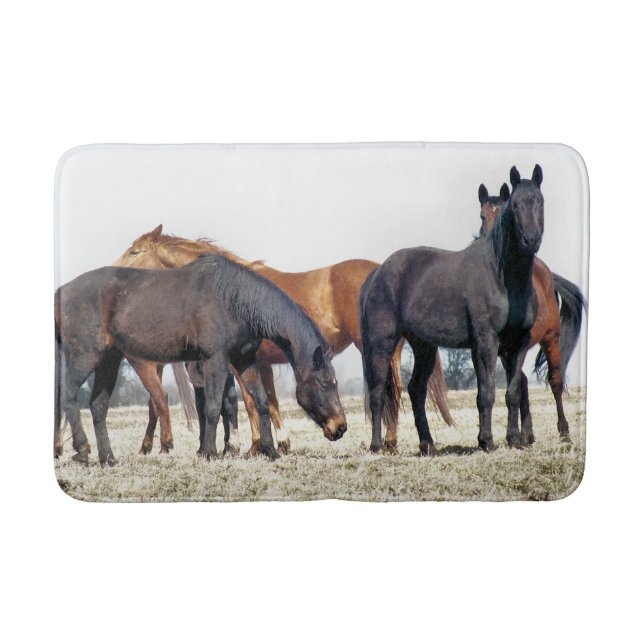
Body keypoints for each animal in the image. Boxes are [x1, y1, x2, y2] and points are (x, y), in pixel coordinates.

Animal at [54, 254, 347, 465]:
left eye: (335, 382)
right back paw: (82, 450)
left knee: (98, 407)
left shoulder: (244, 359)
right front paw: (209, 452)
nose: (340, 427)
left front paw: (269, 451)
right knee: (68, 397)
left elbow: (261, 401)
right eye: (324, 384)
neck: (234, 299)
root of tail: (60, 293)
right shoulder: (215, 359)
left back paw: (108, 458)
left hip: (109, 361)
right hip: (85, 357)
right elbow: (214, 407)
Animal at [113, 228, 453, 455]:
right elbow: (264, 401)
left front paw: (255, 447)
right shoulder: (257, 362)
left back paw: (388, 442)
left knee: (390, 389)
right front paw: (275, 443)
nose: (114, 271)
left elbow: (251, 402)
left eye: (135, 252)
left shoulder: (244, 362)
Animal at [361, 165, 545, 455]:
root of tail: (378, 272)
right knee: (378, 391)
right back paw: (377, 445)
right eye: (515, 205)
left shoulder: (518, 344)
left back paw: (428, 445)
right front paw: (487, 441)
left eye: (539, 201)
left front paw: (514, 440)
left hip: (424, 346)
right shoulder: (486, 342)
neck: (503, 277)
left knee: (416, 389)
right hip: (382, 342)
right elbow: (487, 393)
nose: (531, 240)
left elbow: (513, 392)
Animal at [478, 183, 587, 442]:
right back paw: (527, 434)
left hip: (551, 339)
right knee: (523, 383)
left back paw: (564, 431)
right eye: (482, 216)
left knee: (555, 381)